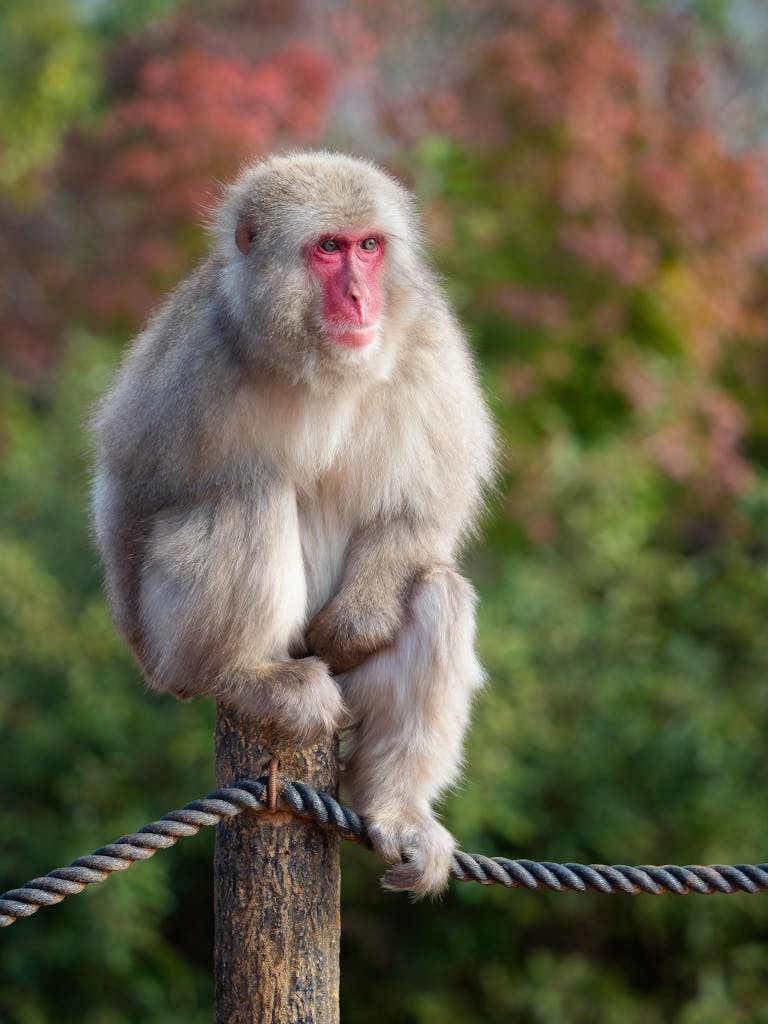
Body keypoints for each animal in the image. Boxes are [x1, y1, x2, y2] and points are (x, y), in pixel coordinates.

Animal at [91, 151, 495, 896]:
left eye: (370, 246)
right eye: (328, 248)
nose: (362, 298)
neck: (315, 362)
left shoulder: (427, 341)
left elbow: (425, 503)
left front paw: (360, 620)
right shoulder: (194, 351)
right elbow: (132, 490)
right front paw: (164, 667)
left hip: (347, 679)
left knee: (435, 590)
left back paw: (394, 805)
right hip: (209, 632)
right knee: (250, 490)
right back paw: (243, 673)